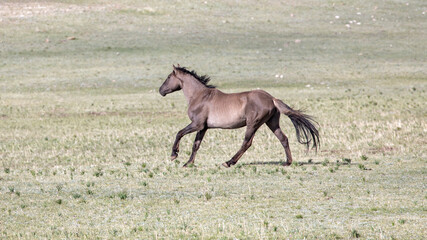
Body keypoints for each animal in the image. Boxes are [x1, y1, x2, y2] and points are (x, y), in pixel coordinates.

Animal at [159, 64, 320, 168]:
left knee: (247, 143)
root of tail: (272, 98)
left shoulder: (196, 124)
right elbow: (196, 145)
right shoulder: (203, 127)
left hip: (253, 124)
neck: (200, 96)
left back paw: (228, 162)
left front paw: (174, 155)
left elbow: (179, 133)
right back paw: (287, 162)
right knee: (283, 138)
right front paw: (188, 163)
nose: (161, 90)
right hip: (272, 123)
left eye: (168, 76)